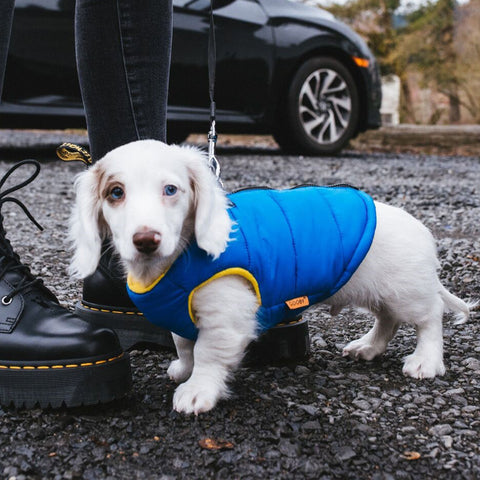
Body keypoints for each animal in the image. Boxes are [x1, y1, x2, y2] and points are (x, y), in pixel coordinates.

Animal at [69, 138, 474, 412]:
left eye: (171, 189)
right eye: (115, 192)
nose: (145, 240)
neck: (171, 265)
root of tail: (421, 230)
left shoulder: (226, 317)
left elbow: (207, 353)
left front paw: (198, 390)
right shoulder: (179, 314)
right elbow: (183, 344)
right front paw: (184, 369)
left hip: (407, 293)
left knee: (430, 318)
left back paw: (426, 361)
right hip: (382, 294)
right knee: (387, 321)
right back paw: (369, 347)